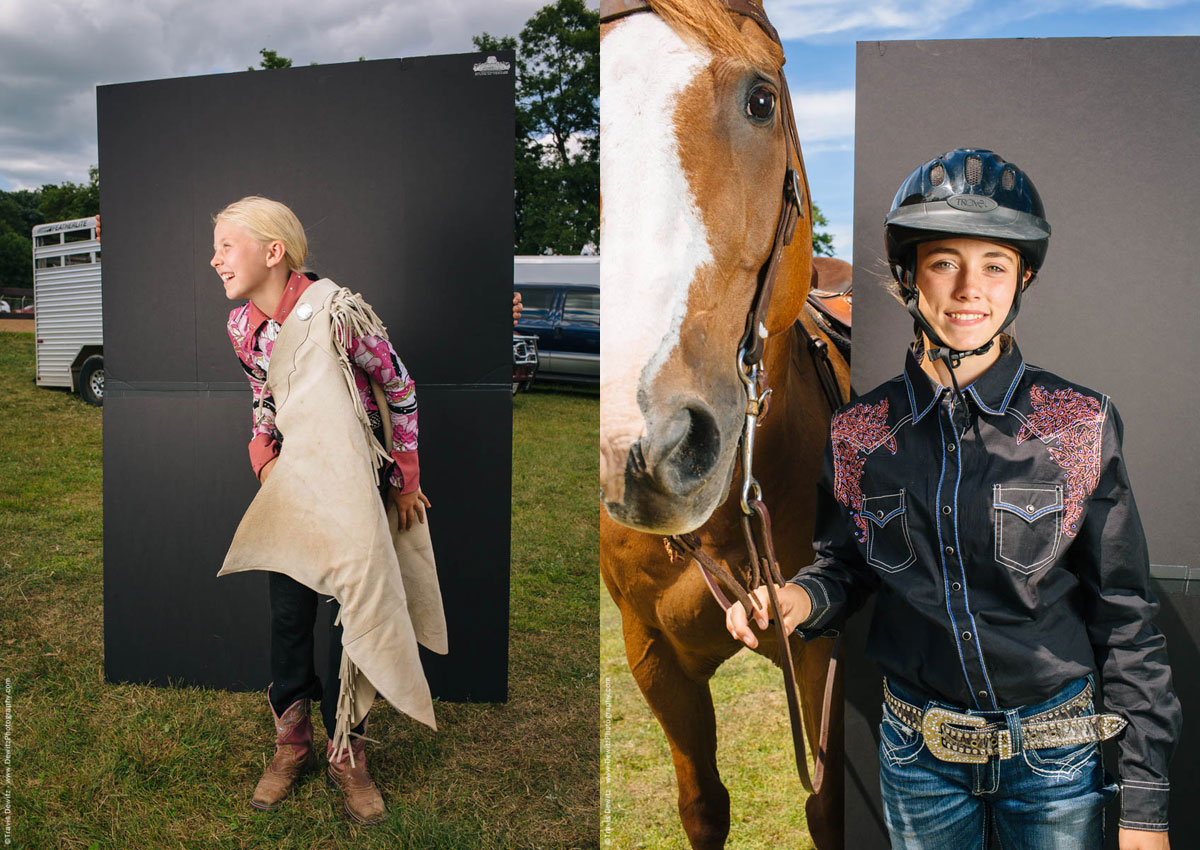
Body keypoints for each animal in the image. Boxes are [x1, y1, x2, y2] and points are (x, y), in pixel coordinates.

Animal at [600, 3, 854, 845]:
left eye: (761, 100)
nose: (642, 449)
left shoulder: (825, 662)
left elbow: (829, 806)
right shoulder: (653, 658)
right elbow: (702, 803)